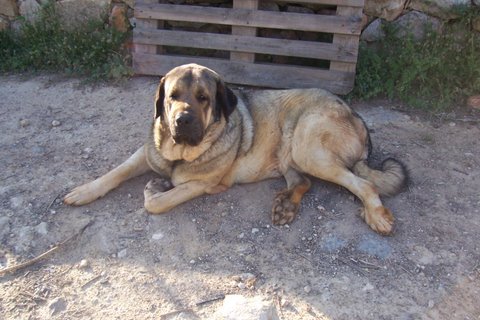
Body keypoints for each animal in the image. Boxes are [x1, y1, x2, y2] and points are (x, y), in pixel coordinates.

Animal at [63, 63, 404, 235]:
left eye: (203, 98)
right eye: (172, 96)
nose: (182, 120)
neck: (180, 153)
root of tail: (357, 117)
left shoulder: (199, 184)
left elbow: (156, 203)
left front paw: (154, 188)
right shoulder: (145, 153)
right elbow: (115, 172)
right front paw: (84, 191)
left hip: (308, 147)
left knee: (365, 184)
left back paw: (377, 216)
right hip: (291, 156)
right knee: (303, 182)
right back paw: (285, 205)